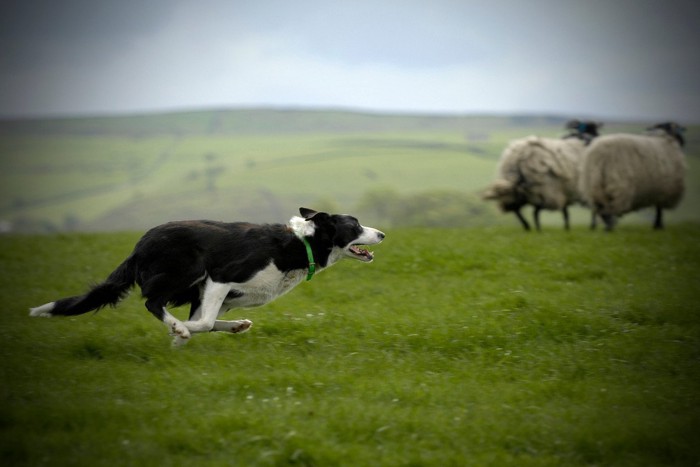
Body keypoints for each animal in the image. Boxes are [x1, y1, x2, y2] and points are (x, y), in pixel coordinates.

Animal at [30, 207, 386, 346]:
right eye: (354, 225)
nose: (382, 234)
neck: (302, 244)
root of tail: (140, 245)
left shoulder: (222, 296)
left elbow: (209, 321)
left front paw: (233, 326)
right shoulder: (220, 278)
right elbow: (201, 323)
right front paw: (180, 333)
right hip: (187, 268)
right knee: (152, 302)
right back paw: (177, 327)